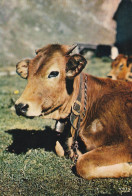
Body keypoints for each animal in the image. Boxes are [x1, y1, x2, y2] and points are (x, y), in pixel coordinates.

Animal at [14, 44, 132, 179]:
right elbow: (61, 149)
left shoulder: (126, 143)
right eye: (28, 73)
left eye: (53, 73)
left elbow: (82, 164)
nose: (20, 106)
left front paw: (127, 167)